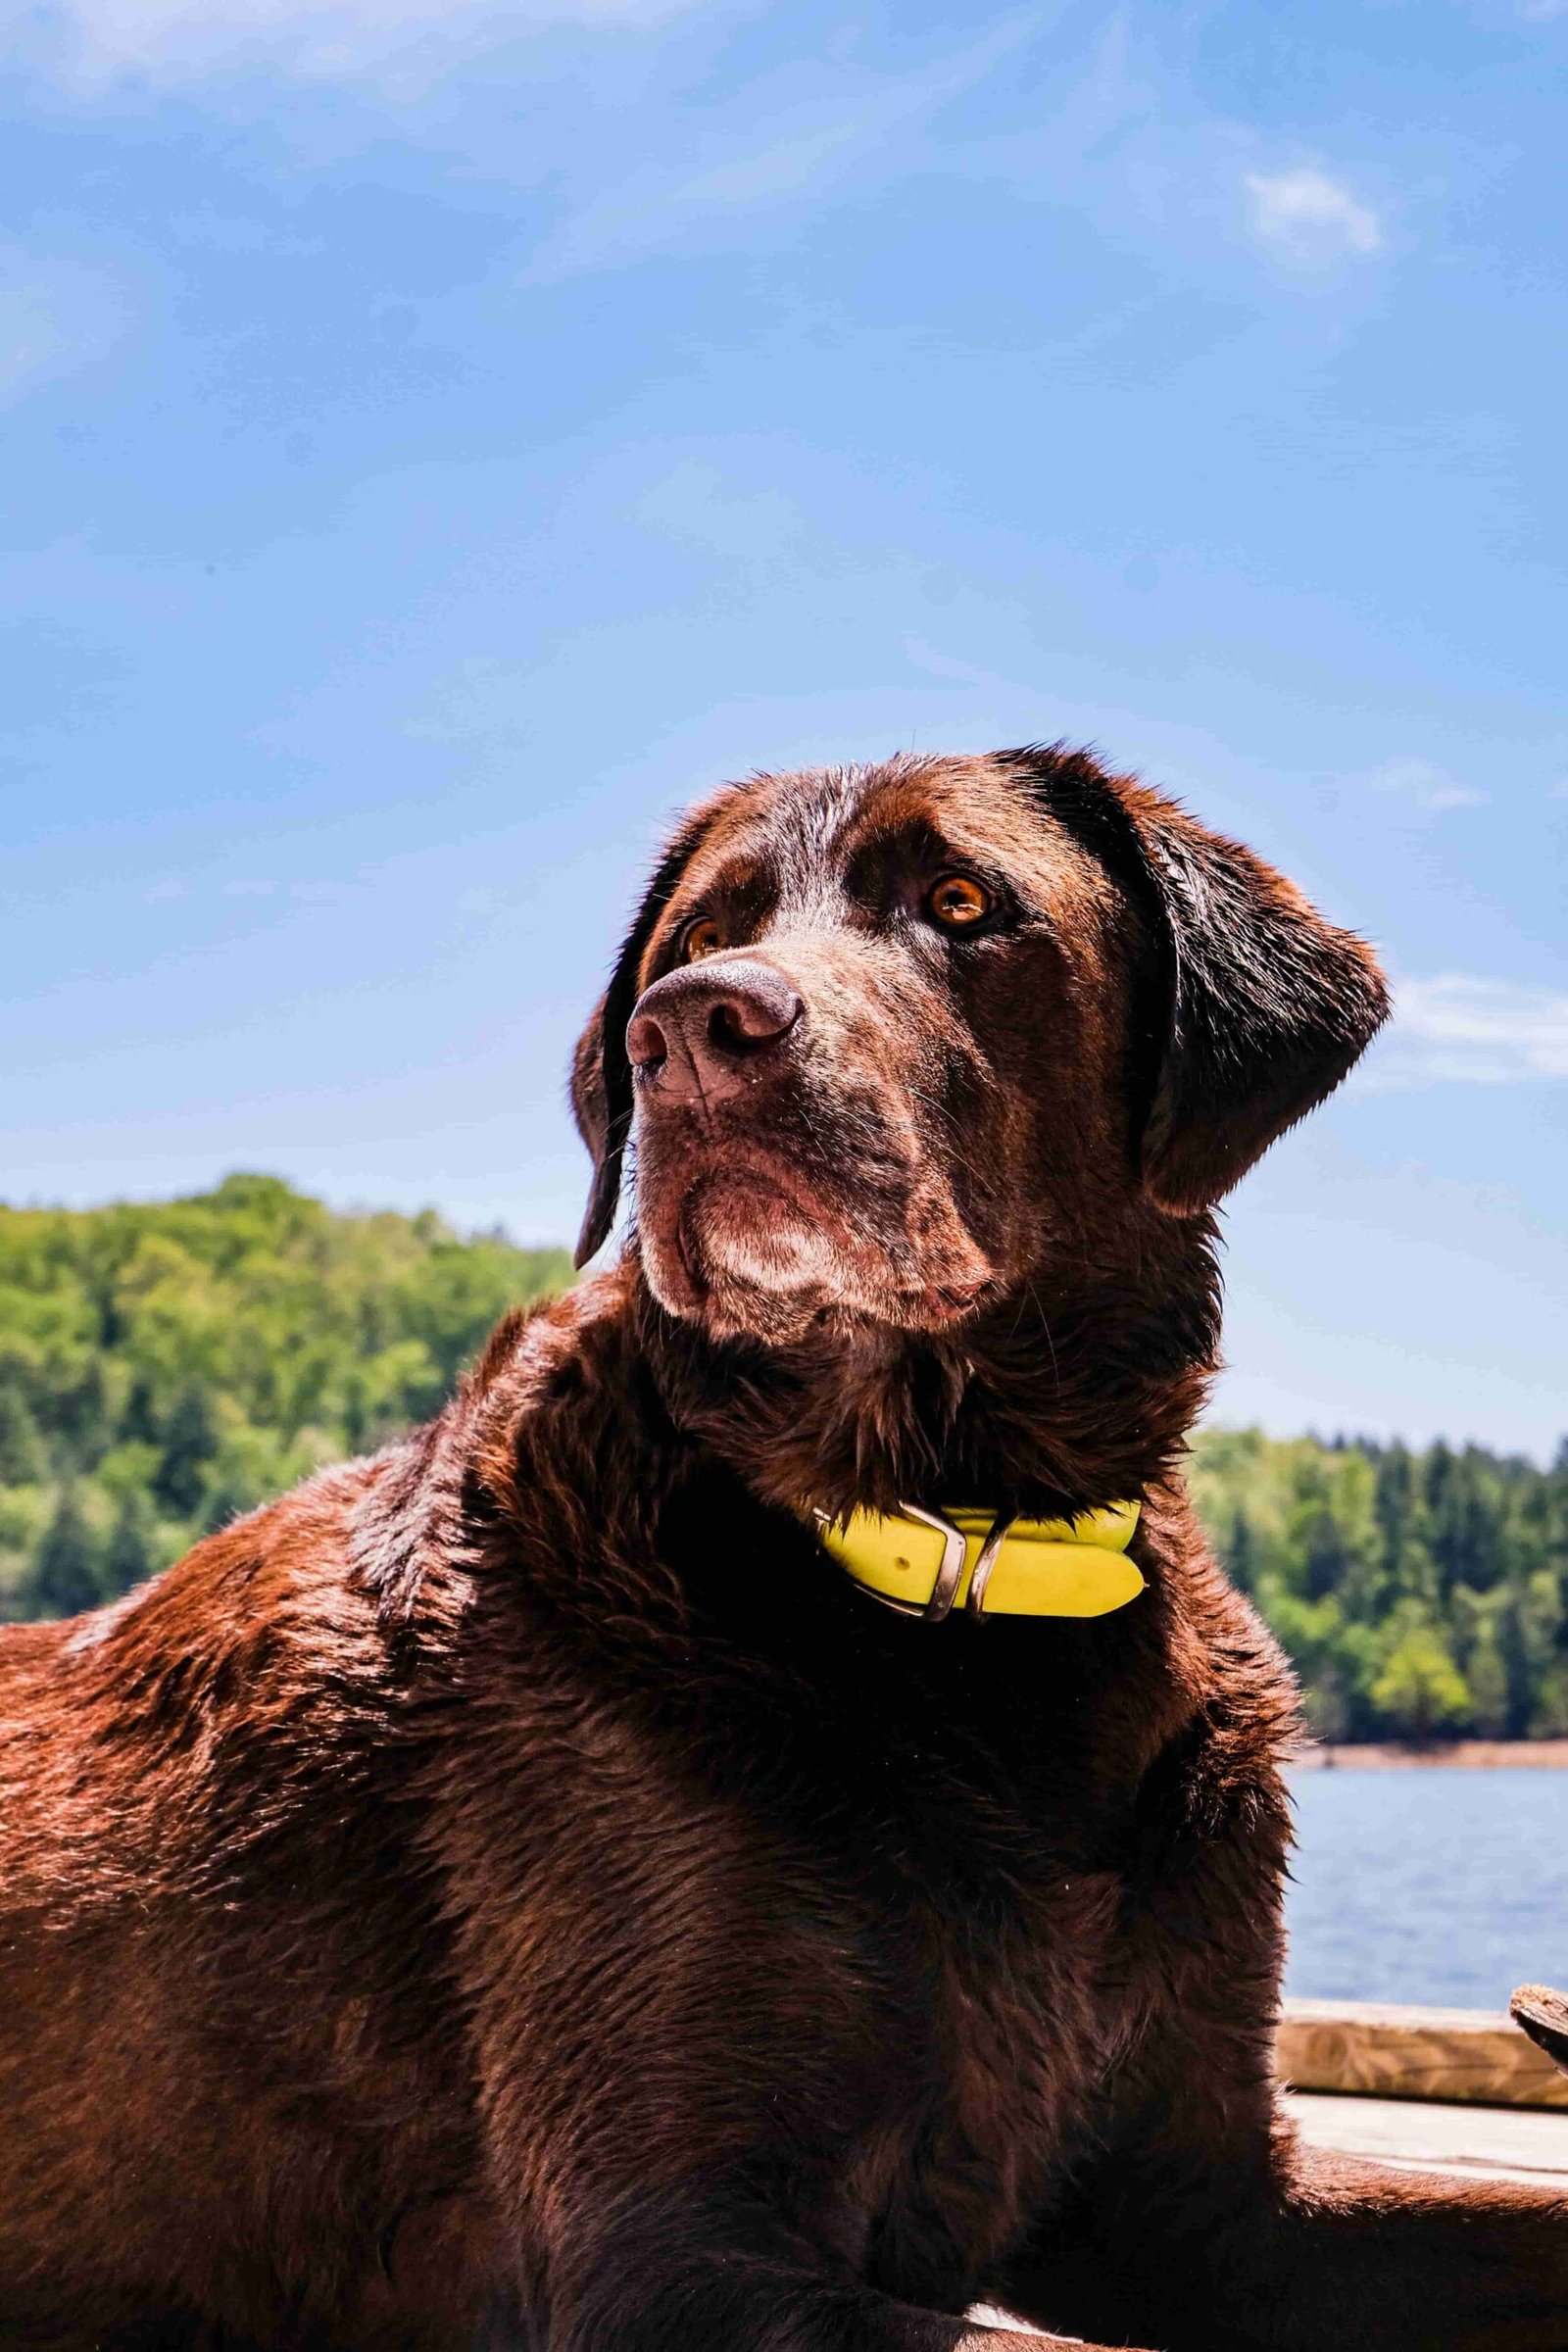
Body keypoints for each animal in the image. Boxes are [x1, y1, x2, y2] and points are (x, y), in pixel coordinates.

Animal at [3, 748, 1568, 2352]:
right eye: (700, 934)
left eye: (963, 902)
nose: (689, 1030)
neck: (960, 1557)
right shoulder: (660, 2251)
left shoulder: (1208, 2195)